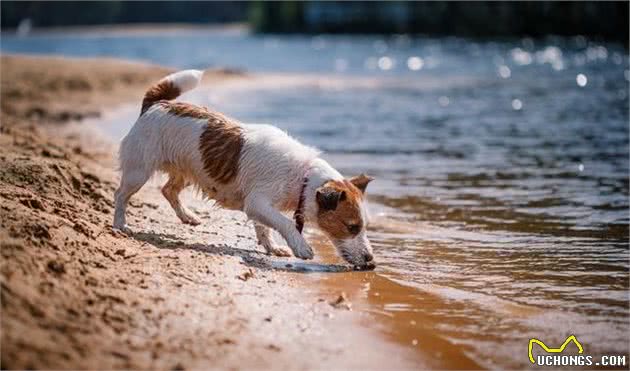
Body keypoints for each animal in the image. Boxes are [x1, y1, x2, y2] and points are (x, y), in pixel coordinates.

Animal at [115, 70, 376, 268]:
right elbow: (285, 223)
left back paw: (187, 216)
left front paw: (272, 247)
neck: (303, 176)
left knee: (168, 190)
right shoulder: (258, 202)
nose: (371, 261)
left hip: (189, 170)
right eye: (352, 227)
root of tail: (157, 104)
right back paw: (120, 224)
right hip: (139, 171)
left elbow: (264, 228)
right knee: (121, 195)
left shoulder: (262, 206)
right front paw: (300, 246)